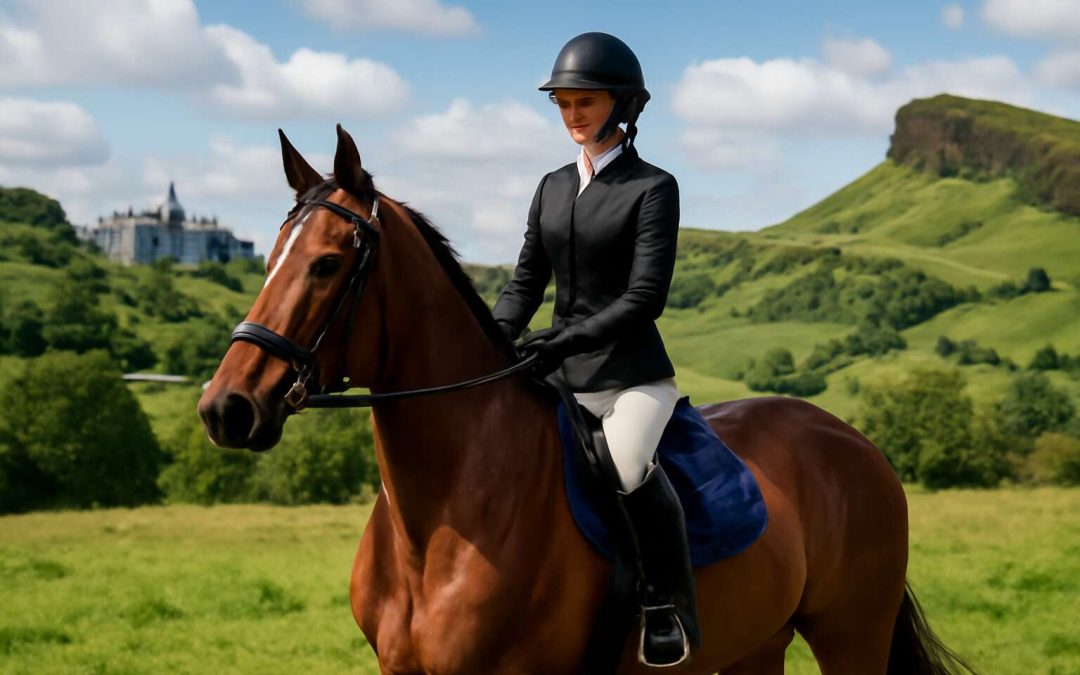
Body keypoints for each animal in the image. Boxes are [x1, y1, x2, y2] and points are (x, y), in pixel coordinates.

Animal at [198, 125, 973, 674]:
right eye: (269, 258)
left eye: (327, 264)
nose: (224, 408)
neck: (444, 513)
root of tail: (853, 440)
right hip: (757, 642)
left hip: (852, 634)